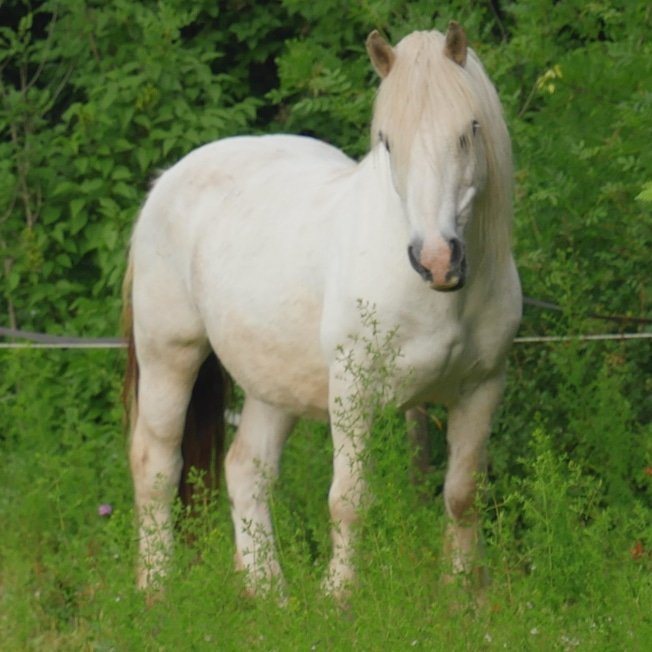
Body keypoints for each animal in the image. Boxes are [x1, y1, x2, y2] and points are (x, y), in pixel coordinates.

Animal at [123, 22, 521, 600]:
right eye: (388, 141)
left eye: (469, 130)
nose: (436, 259)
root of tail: (166, 182)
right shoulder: (354, 392)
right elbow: (350, 500)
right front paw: (340, 598)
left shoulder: (481, 389)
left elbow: (462, 495)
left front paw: (463, 596)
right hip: (169, 356)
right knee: (155, 466)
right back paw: (157, 588)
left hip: (272, 383)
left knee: (246, 471)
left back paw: (270, 595)